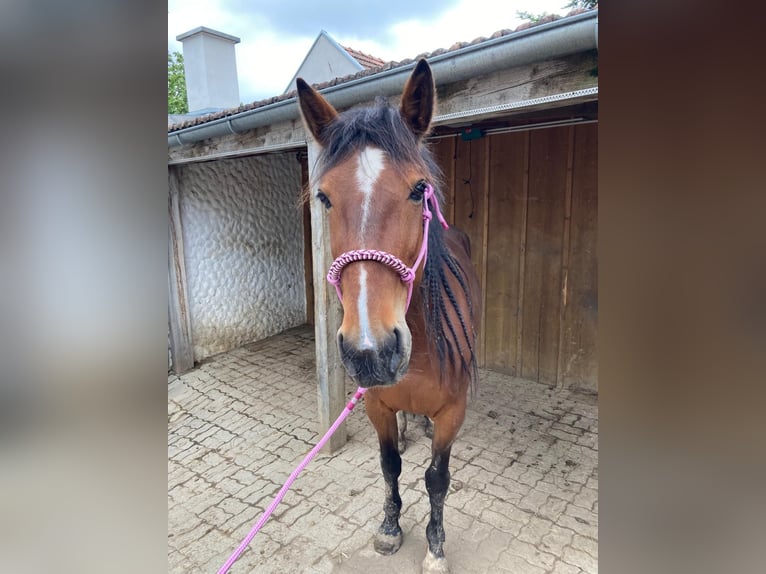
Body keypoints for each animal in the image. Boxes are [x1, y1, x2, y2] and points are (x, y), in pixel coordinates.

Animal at [298, 59, 484, 574]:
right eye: (323, 198)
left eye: (419, 190)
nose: (371, 350)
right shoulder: (376, 405)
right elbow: (389, 466)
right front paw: (389, 528)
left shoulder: (453, 413)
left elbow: (437, 478)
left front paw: (436, 547)